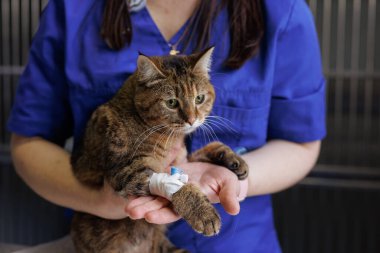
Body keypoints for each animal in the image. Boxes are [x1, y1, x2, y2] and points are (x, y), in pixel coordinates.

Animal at [70, 48, 249, 253]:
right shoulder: (127, 170)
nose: (191, 120)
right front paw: (202, 212)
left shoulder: (181, 160)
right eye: (171, 103)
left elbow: (206, 150)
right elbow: (180, 185)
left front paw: (230, 157)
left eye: (199, 98)